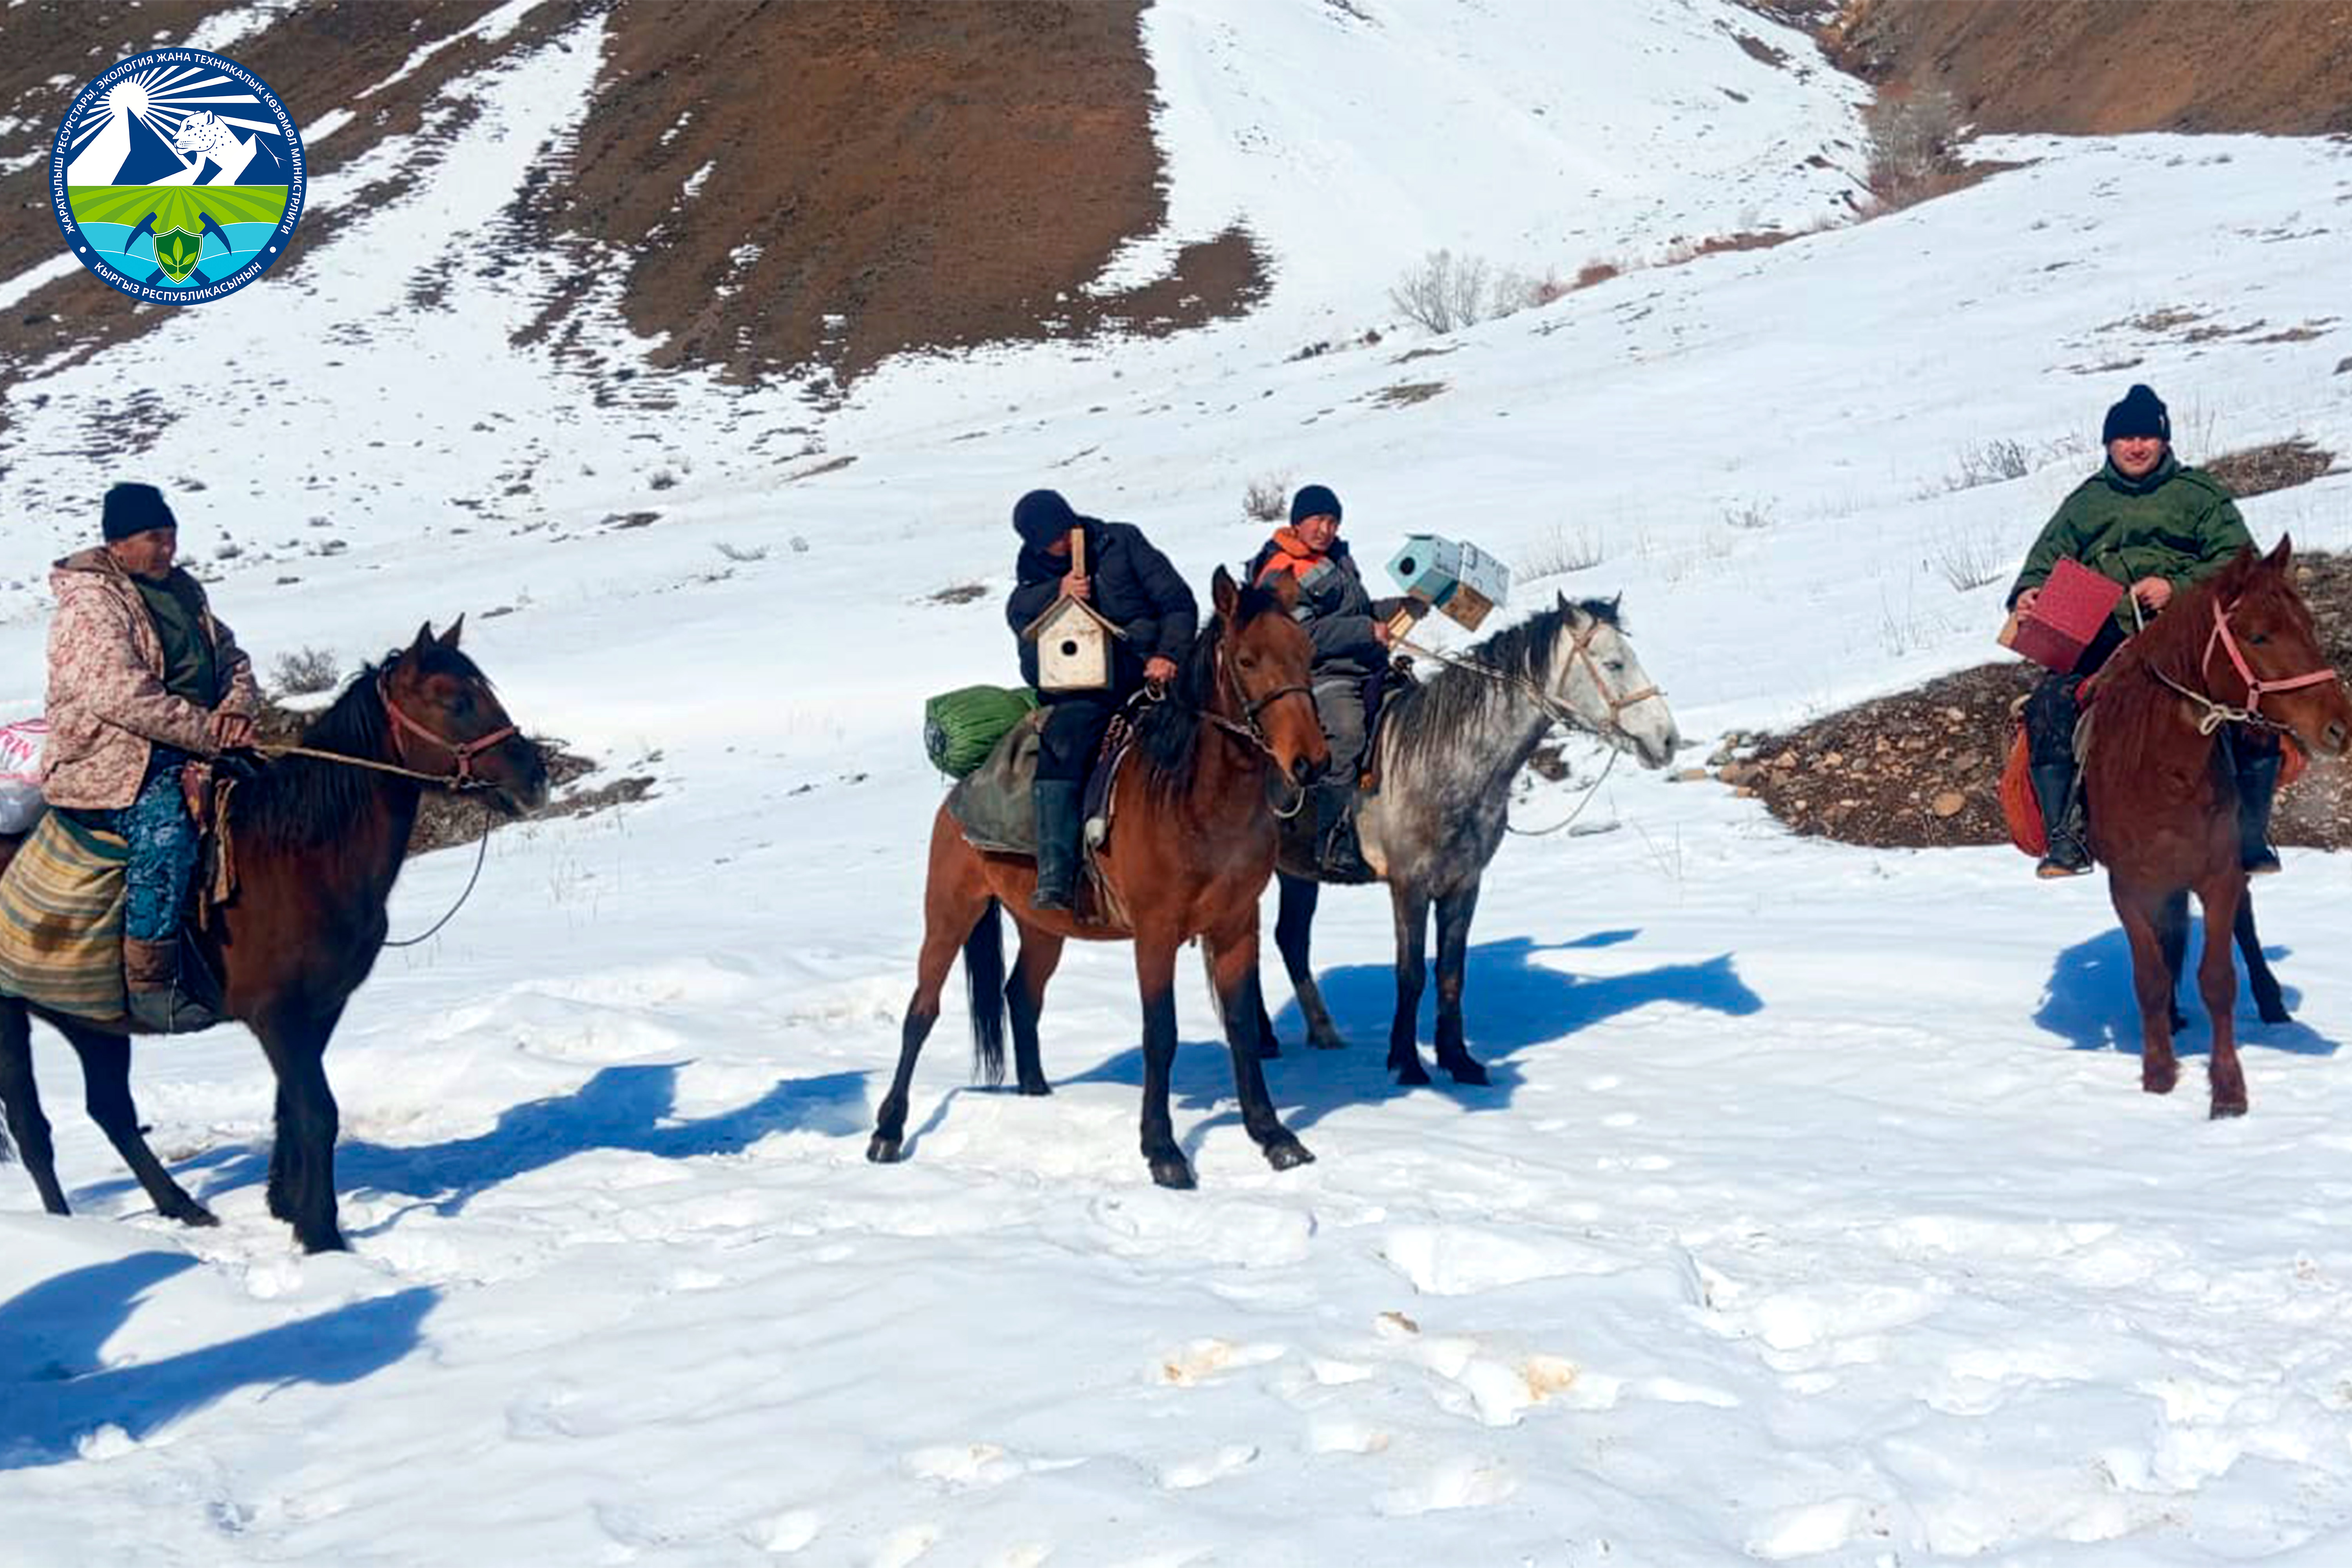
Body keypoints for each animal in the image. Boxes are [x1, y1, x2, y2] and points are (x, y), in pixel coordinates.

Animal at [0, 625, 546, 1250]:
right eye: (454, 701)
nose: (535, 778)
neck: (303, 858)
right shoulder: (277, 1016)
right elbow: (318, 1112)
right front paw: (322, 1235)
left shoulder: (319, 1009)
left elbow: (293, 1108)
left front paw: (287, 1206)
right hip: (11, 1017)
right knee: (32, 1126)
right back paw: (64, 1230)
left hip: (93, 1020)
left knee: (111, 1110)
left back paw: (182, 1209)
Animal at [875, 564, 1336, 1189]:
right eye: (1246, 660)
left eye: (1306, 653)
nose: (1311, 762)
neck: (1197, 800)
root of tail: (957, 798)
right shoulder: (1156, 933)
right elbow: (1160, 1033)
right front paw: (1163, 1150)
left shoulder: (1237, 925)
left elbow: (1241, 1026)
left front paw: (1274, 1137)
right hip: (950, 912)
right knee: (921, 1013)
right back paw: (887, 1131)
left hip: (1042, 928)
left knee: (1021, 995)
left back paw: (1038, 1097)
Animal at [1261, 595, 1684, 1086]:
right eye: (1614, 663)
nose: (1667, 740)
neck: (1446, 757)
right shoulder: (1409, 886)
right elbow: (1411, 974)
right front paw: (1407, 1064)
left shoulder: (1463, 883)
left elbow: (1451, 972)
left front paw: (1459, 1061)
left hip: (1296, 874)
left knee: (1291, 939)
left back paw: (1321, 1034)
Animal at [2089, 541, 2343, 1114]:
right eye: (2259, 635)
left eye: (2309, 625)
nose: (2341, 726)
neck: (2163, 774)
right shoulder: (2128, 888)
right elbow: (2150, 978)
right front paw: (2159, 1073)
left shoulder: (2219, 877)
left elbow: (2219, 979)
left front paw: (2228, 1091)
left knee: (2245, 927)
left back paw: (2271, 1002)